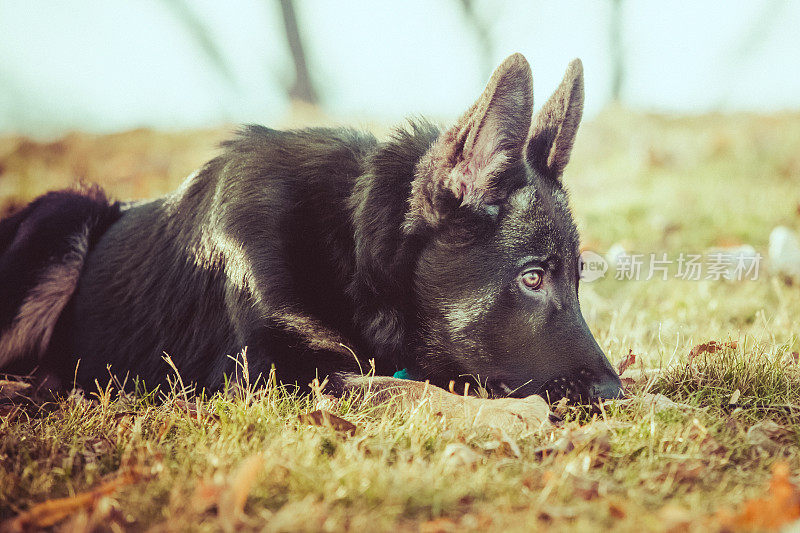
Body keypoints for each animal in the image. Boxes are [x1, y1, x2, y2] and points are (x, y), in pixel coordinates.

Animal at [0, 54, 624, 404]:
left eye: (576, 280)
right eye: (532, 278)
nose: (615, 394)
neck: (348, 250)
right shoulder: (275, 373)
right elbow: (418, 391)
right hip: (60, 219)